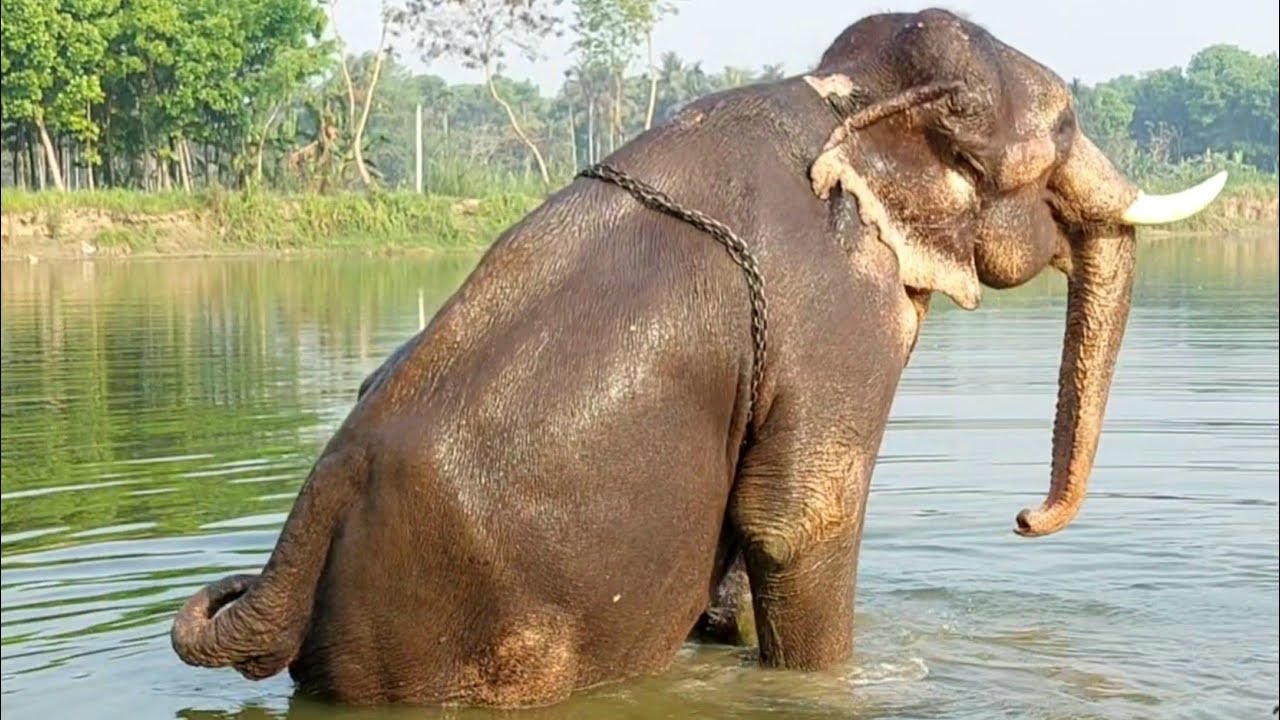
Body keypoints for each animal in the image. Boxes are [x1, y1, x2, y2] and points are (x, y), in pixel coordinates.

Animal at [169, 8, 1227, 708]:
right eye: (1063, 127)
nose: (1023, 519)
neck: (841, 95)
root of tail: (299, 540)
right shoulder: (843, 307)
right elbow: (799, 518)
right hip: (436, 628)